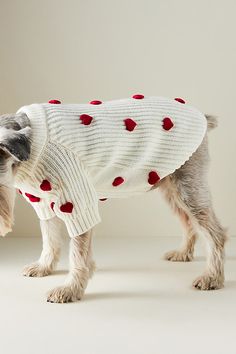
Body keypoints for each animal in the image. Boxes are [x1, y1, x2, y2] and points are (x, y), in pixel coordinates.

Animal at [0, 95, 227, 302]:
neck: (31, 147)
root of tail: (202, 117)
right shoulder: (45, 203)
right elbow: (50, 239)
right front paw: (44, 267)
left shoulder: (76, 203)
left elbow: (77, 254)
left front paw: (70, 289)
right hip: (172, 191)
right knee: (188, 222)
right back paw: (183, 253)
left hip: (188, 189)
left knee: (215, 233)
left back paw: (212, 277)